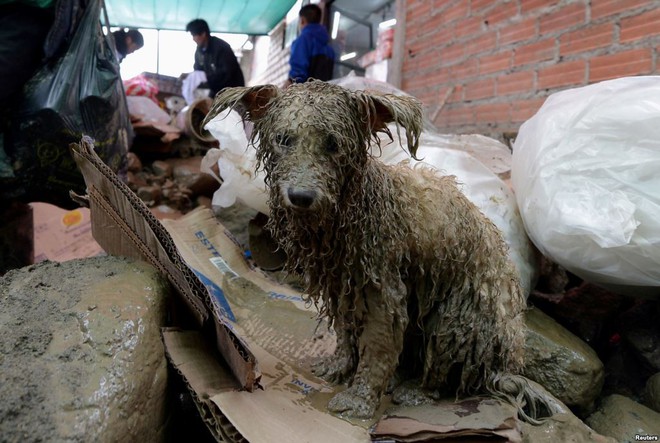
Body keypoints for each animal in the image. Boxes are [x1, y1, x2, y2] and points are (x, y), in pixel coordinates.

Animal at [204, 82, 544, 420]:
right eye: (284, 140)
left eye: (333, 144)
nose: (301, 195)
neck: (356, 208)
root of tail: (500, 367)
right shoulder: (343, 285)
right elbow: (344, 331)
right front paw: (339, 366)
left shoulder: (384, 289)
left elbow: (377, 348)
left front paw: (359, 399)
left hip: (457, 319)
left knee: (444, 369)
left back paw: (416, 391)